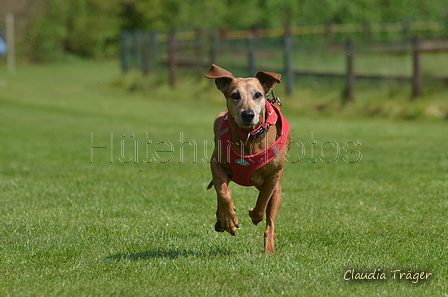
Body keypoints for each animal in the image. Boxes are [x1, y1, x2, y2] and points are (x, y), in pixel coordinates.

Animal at [206, 64, 292, 252]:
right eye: (235, 95)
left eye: (258, 94)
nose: (248, 114)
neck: (249, 138)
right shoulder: (217, 164)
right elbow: (223, 192)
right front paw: (229, 220)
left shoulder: (273, 176)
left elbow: (263, 202)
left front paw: (254, 214)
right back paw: (222, 219)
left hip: (277, 190)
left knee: (270, 220)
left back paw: (269, 249)